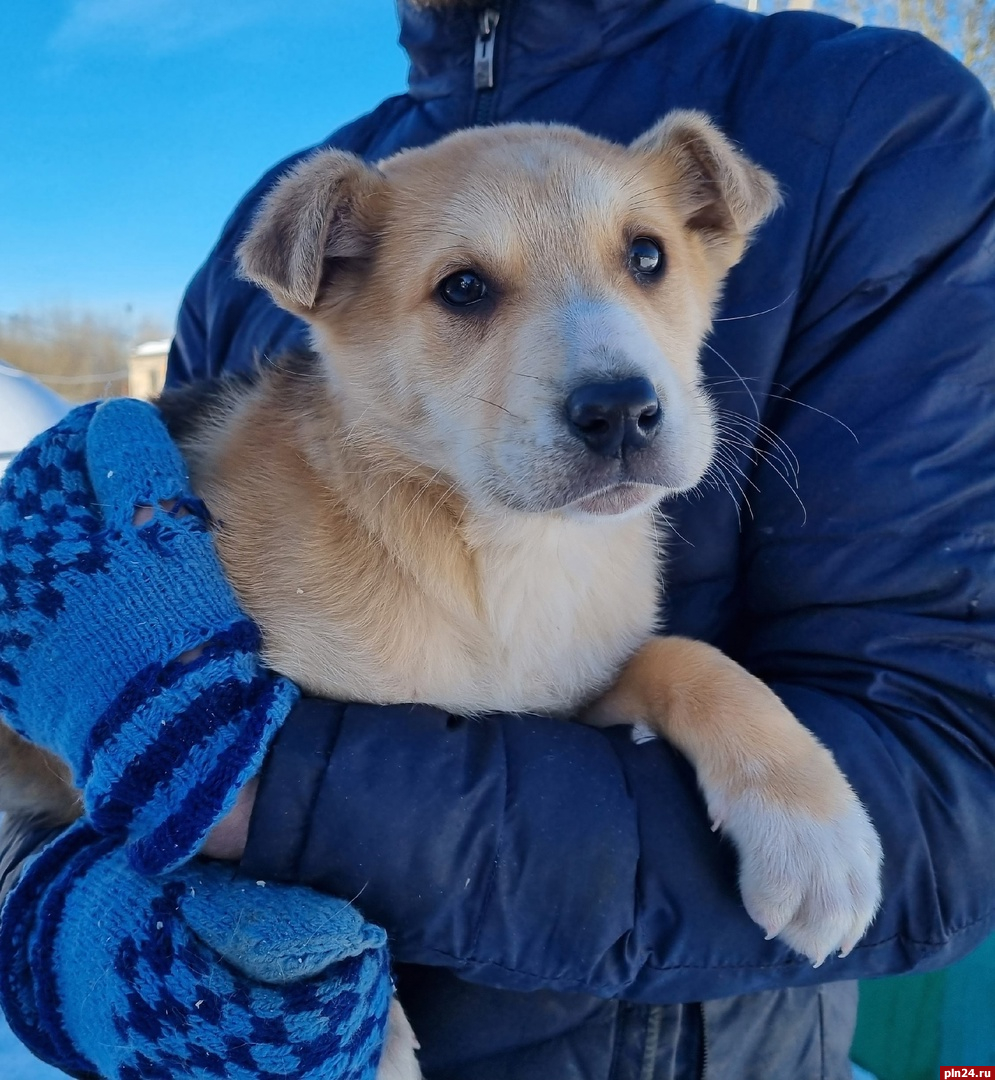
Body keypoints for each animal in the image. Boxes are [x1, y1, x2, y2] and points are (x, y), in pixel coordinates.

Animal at [3, 113, 881, 1075]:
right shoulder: (181, 747)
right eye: (463, 288)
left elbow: (689, 656)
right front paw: (365, 1029)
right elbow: (203, 832)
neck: (496, 555)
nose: (621, 410)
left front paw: (811, 828)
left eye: (647, 257)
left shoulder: (561, 692)